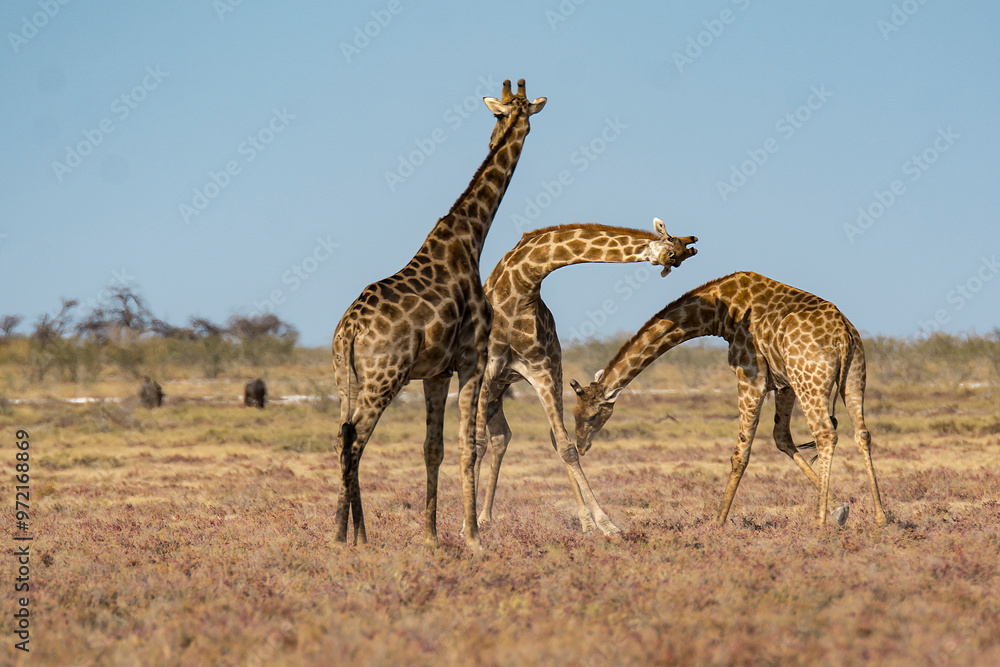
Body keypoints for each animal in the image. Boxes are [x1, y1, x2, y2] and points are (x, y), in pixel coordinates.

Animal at [332, 79, 546, 552]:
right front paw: (474, 537)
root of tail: (350, 329)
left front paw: (430, 536)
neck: (470, 239)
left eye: (499, 115)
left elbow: (433, 449)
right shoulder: (471, 359)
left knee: (342, 435)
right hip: (384, 377)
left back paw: (349, 533)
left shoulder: (435, 372)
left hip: (345, 380)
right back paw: (351, 537)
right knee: (355, 441)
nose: (499, 136)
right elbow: (468, 444)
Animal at [474, 220, 698, 535]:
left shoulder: (543, 371)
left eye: (677, 259)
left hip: (507, 386)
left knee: (502, 437)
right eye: (672, 250)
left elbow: (565, 446)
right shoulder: (486, 372)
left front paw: (599, 523)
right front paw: (465, 526)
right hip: (488, 384)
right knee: (480, 439)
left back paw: (487, 517)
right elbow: (476, 443)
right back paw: (476, 519)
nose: (668, 261)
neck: (521, 287)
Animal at [570, 271, 888, 528]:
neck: (719, 313)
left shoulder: (750, 375)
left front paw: (718, 521)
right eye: (574, 414)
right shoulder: (783, 382)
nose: (580, 446)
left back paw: (819, 523)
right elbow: (781, 438)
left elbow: (741, 452)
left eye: (592, 415)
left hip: (810, 381)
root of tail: (843, 335)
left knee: (825, 434)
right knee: (862, 433)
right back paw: (880, 517)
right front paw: (840, 508)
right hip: (852, 376)